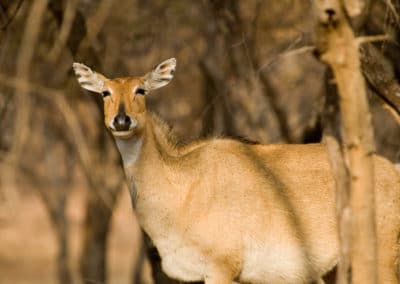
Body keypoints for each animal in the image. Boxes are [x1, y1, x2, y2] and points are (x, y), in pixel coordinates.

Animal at [73, 58, 400, 282]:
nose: (121, 120)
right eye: (105, 92)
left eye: (141, 89)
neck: (182, 183)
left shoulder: (222, 268)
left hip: (380, 258)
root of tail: (393, 171)